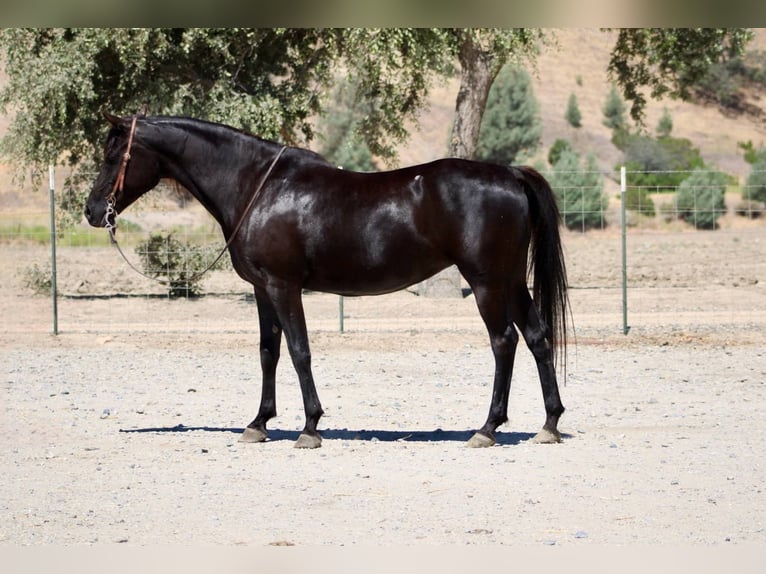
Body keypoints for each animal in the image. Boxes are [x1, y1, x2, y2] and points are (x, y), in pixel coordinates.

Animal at [85, 112, 569, 449]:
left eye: (112, 157)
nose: (92, 211)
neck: (259, 187)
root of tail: (510, 174)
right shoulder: (262, 289)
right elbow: (268, 352)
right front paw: (258, 424)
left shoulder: (284, 286)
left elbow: (300, 352)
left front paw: (310, 427)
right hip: (511, 281)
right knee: (537, 337)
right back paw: (548, 424)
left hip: (487, 282)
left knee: (504, 342)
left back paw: (487, 428)